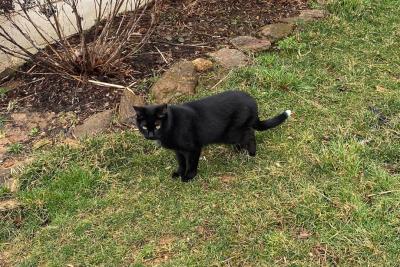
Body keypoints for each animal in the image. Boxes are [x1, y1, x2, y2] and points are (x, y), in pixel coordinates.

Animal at [134, 91, 290, 183]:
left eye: (157, 125)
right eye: (144, 126)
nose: (150, 134)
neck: (172, 123)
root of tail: (253, 103)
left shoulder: (194, 148)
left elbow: (191, 163)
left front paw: (189, 176)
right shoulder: (178, 151)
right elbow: (181, 163)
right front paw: (179, 173)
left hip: (231, 133)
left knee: (250, 134)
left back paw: (251, 153)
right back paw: (238, 150)